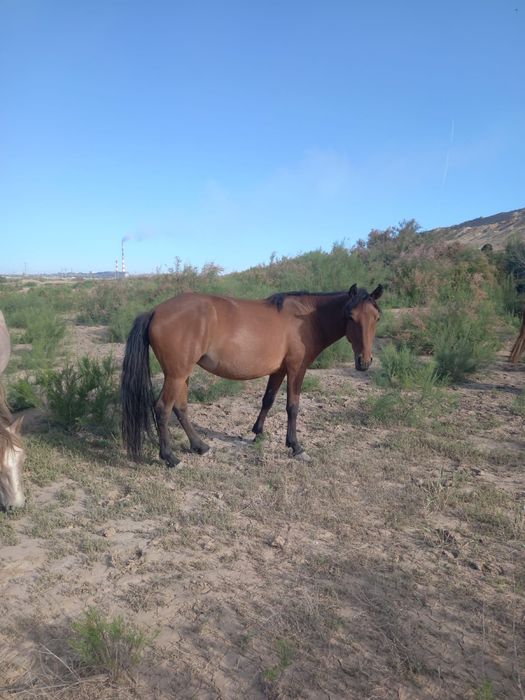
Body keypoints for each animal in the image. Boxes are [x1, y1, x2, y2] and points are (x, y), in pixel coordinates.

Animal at [121, 283, 383, 467]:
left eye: (376, 318)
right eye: (351, 316)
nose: (364, 362)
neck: (307, 318)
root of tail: (155, 311)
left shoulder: (279, 370)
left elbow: (268, 400)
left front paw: (258, 434)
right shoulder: (296, 369)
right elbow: (293, 407)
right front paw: (296, 447)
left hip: (182, 375)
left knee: (180, 408)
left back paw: (200, 446)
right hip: (176, 375)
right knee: (163, 409)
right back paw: (170, 458)